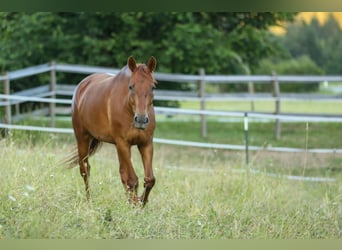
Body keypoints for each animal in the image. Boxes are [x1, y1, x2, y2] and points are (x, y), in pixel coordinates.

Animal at [65, 56, 157, 207]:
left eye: (153, 86)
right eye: (131, 86)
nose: (141, 119)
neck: (128, 108)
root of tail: (82, 85)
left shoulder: (146, 143)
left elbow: (149, 179)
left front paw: (141, 202)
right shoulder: (123, 143)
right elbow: (132, 179)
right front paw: (136, 206)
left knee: (122, 173)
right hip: (83, 138)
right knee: (85, 169)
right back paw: (89, 201)